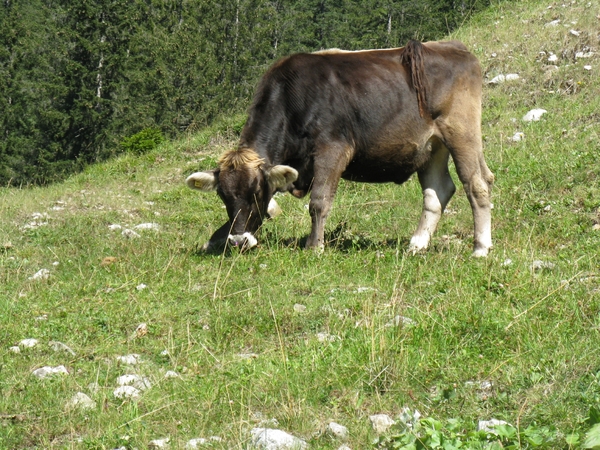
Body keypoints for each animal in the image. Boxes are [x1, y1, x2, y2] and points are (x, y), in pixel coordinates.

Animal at [186, 39, 492, 256]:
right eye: (223, 195)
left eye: (256, 191)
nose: (239, 241)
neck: (292, 97)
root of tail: (452, 46)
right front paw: (215, 239)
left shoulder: (333, 149)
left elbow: (319, 201)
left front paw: (314, 246)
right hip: (432, 147)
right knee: (438, 192)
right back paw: (417, 244)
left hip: (461, 132)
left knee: (476, 183)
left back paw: (480, 248)